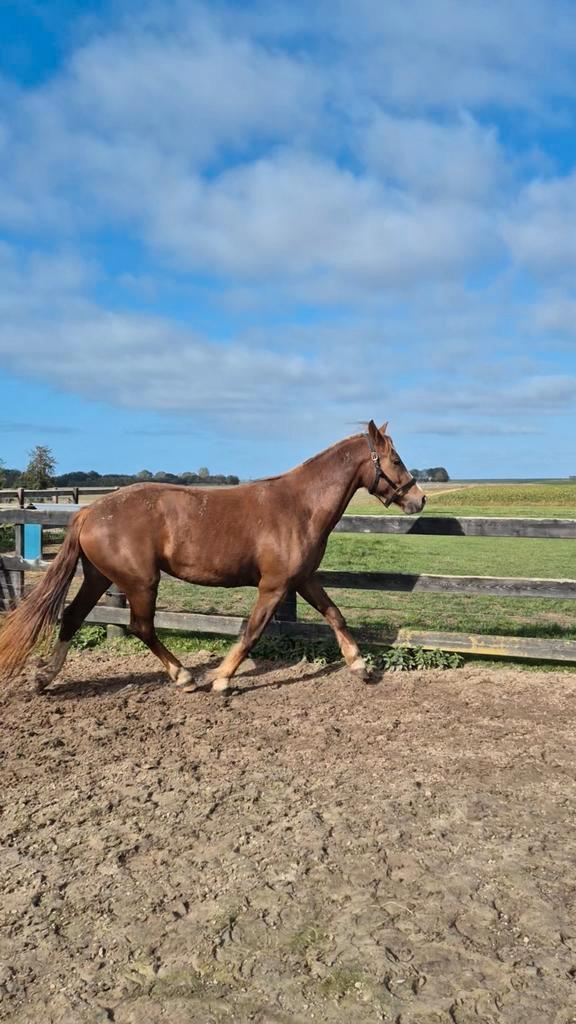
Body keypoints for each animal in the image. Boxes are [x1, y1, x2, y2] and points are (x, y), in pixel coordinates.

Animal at [0, 420, 425, 694]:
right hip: (141, 582)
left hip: (99, 576)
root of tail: (89, 511)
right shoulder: (273, 587)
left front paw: (360, 666)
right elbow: (251, 631)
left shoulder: (303, 579)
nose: (418, 499)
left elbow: (335, 614)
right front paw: (222, 679)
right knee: (141, 627)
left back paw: (45, 678)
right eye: (397, 460)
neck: (300, 507)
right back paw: (185, 677)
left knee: (72, 616)